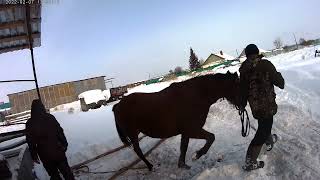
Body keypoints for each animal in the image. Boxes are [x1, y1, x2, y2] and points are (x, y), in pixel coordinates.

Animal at [112, 71, 240, 171]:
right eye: (237, 86)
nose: (241, 104)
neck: (197, 96)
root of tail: (117, 105)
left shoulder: (186, 132)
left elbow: (184, 147)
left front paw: (183, 164)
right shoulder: (192, 130)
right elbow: (211, 137)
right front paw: (197, 155)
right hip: (133, 134)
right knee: (137, 150)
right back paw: (150, 166)